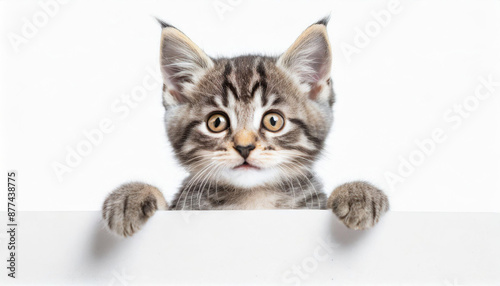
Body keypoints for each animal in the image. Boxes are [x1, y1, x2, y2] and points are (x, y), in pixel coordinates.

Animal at [103, 17, 388, 237]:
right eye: (216, 122)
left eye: (273, 121)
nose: (244, 147)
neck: (251, 202)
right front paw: (130, 196)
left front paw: (359, 193)